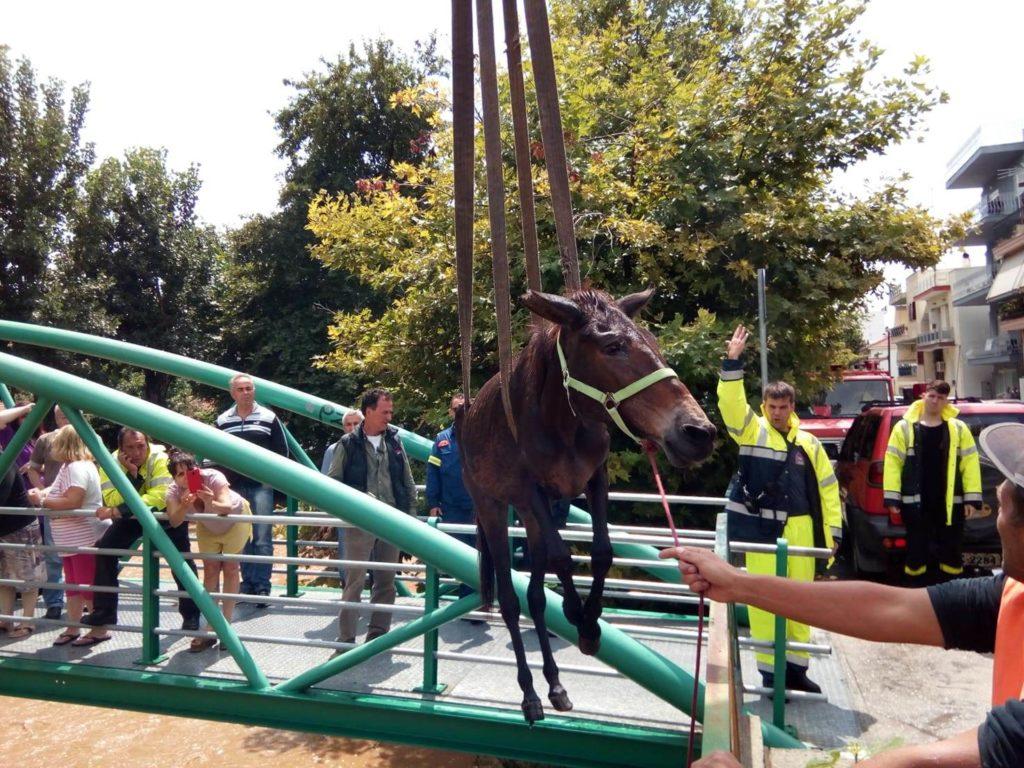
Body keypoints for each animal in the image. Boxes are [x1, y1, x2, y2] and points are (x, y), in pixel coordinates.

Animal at [456, 286, 712, 720]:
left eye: (654, 342)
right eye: (612, 347)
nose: (698, 432)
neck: (561, 424)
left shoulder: (595, 479)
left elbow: (602, 551)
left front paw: (591, 622)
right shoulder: (531, 491)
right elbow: (563, 557)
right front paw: (581, 618)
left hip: (528, 519)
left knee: (536, 598)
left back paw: (555, 685)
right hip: (492, 507)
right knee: (509, 601)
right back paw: (530, 694)